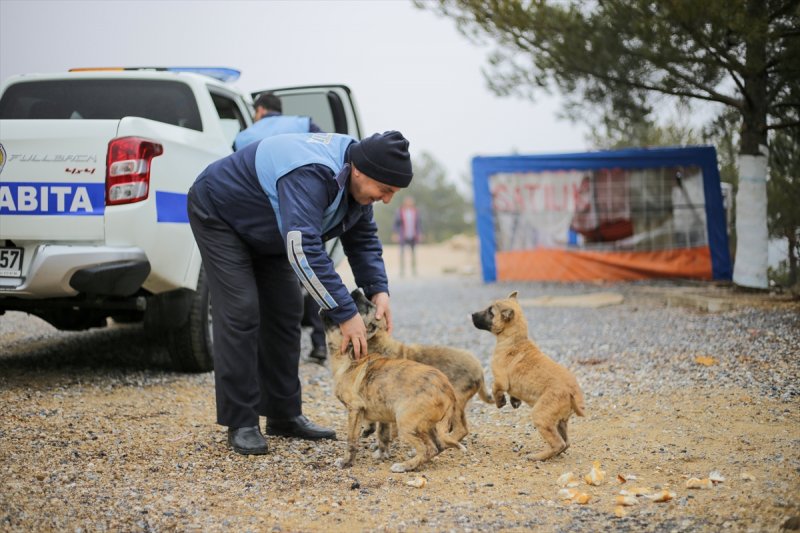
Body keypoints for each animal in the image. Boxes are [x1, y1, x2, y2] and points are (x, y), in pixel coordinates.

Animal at [322, 310, 466, 472]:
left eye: (340, 324)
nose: (324, 309)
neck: (349, 359)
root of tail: (448, 390)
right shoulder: (381, 413)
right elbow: (382, 435)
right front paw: (381, 453)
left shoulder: (355, 409)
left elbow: (351, 440)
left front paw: (346, 462)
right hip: (429, 425)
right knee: (438, 446)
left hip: (405, 422)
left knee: (429, 448)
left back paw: (404, 466)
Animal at [352, 286, 494, 440]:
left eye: (368, 307)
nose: (356, 290)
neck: (379, 344)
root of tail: (480, 370)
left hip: (456, 399)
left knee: (462, 429)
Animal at [468, 290, 588, 462]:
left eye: (490, 312)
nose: (472, 314)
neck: (515, 339)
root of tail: (573, 393)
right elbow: (513, 394)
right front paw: (514, 402)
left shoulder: (500, 380)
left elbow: (496, 389)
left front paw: (500, 402)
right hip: (560, 421)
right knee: (566, 443)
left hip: (541, 416)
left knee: (558, 443)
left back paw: (537, 457)